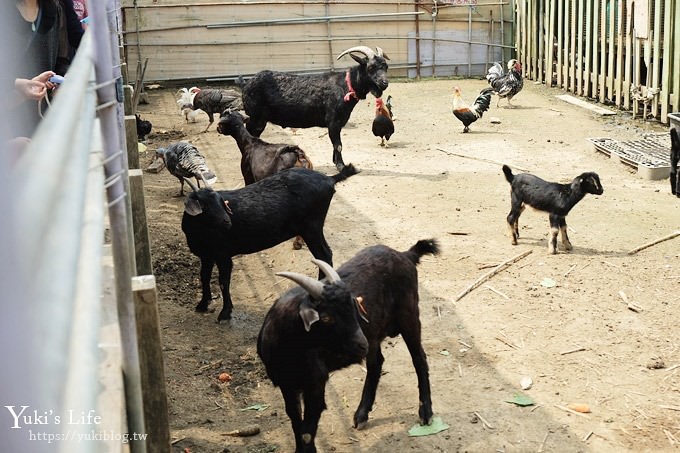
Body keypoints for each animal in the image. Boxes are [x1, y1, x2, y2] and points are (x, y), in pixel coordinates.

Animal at [181, 164, 362, 320]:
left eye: (220, 202)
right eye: (204, 205)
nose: (227, 222)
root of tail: (329, 179)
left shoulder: (223, 255)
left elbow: (223, 281)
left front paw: (225, 312)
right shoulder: (206, 255)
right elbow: (204, 277)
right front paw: (202, 304)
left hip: (312, 227)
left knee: (324, 254)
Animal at [242, 46, 390, 170]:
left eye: (386, 67)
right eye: (370, 67)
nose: (385, 83)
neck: (346, 86)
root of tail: (246, 85)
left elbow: (336, 144)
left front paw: (335, 162)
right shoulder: (333, 121)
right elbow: (338, 145)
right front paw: (341, 166)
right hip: (256, 118)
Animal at [256, 238, 440, 450]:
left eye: (354, 307)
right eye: (326, 317)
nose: (361, 344)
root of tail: (405, 255)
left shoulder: (316, 383)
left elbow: (307, 432)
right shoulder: (287, 384)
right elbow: (295, 423)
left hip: (409, 316)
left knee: (419, 358)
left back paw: (425, 412)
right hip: (376, 334)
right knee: (376, 362)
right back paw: (362, 414)